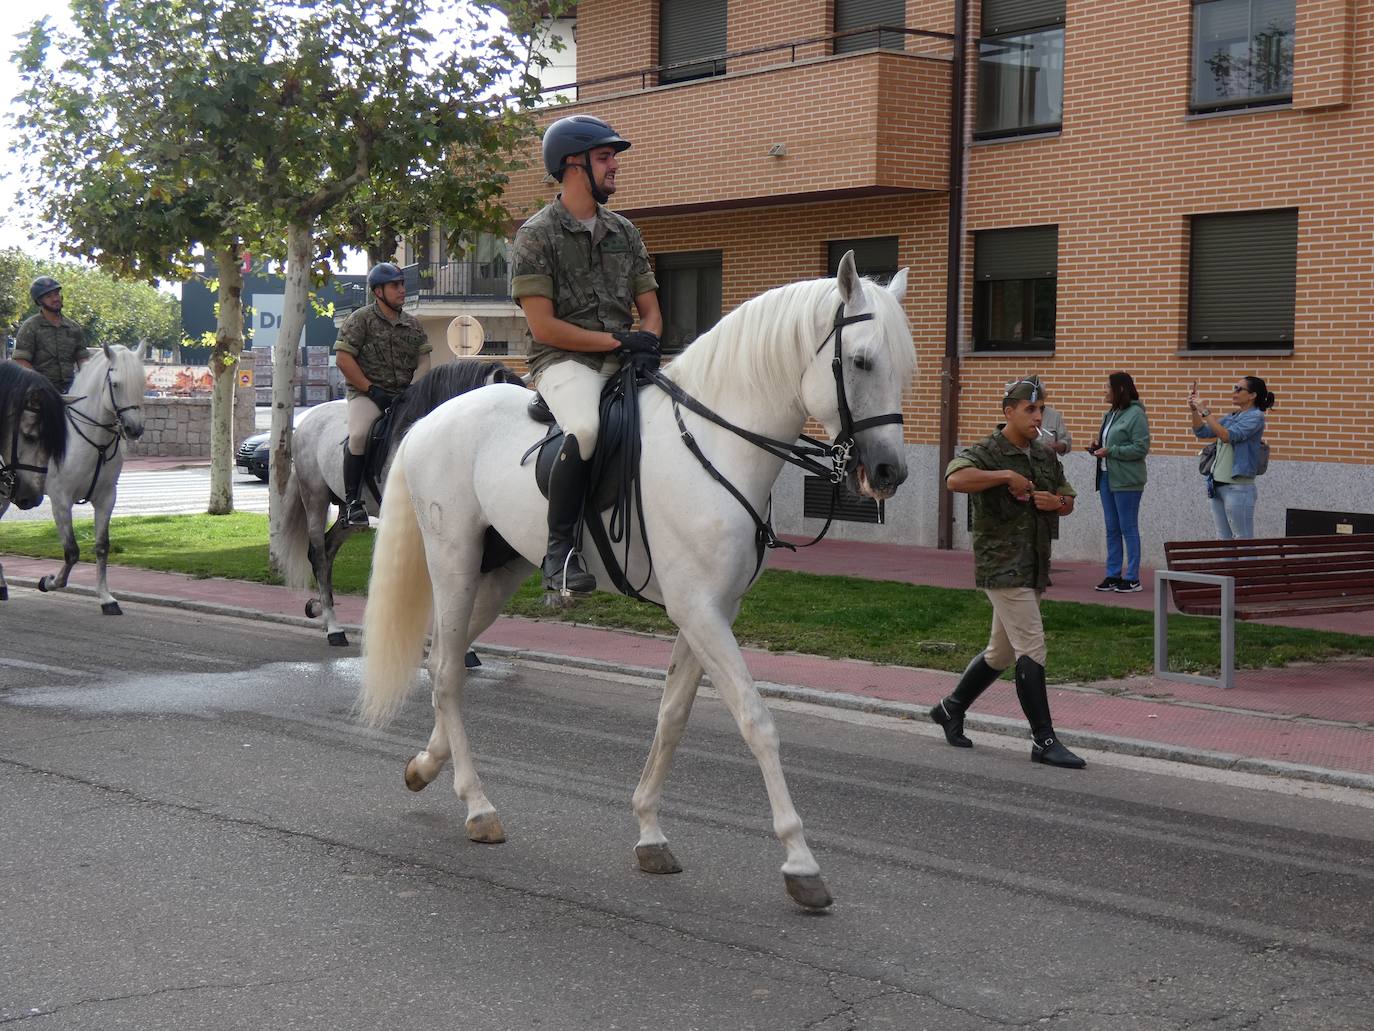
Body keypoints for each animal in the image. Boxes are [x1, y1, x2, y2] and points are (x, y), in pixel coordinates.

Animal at [35, 343, 146, 613]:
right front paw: (50, 581)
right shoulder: (60, 501)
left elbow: (102, 546)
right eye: (115, 384)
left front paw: (106, 598)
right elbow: (71, 551)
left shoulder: (106, 499)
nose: (134, 429)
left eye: (142, 382)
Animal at [281, 357, 527, 646]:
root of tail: (307, 420)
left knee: (329, 550)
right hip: (315, 498)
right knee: (319, 554)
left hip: (346, 516)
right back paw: (333, 628)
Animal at [357, 252, 912, 912]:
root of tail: (429, 422)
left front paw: (650, 831)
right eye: (861, 362)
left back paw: (426, 766)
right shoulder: (699, 610)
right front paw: (800, 862)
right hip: (454, 562)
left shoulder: (712, 611)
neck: (717, 445)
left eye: (905, 366)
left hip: (498, 573)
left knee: (445, 661)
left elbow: (672, 717)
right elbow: (756, 721)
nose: (889, 472)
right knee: (445, 671)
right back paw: (478, 806)